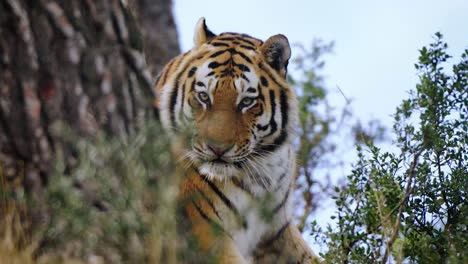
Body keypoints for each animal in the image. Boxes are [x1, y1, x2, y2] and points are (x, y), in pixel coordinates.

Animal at [155, 17, 320, 262]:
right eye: (204, 96)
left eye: (246, 101)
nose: (217, 149)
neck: (263, 169)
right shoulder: (207, 232)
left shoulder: (277, 230)